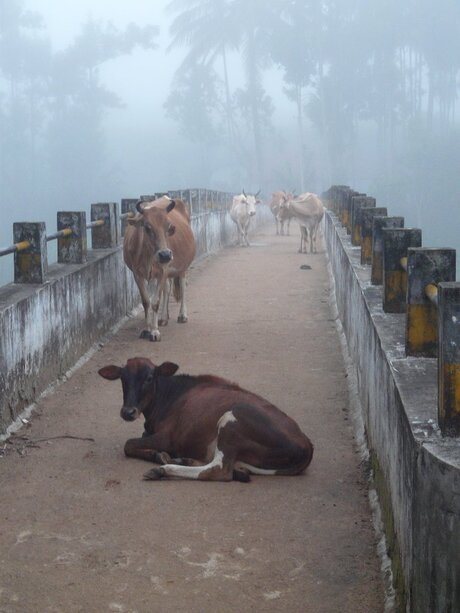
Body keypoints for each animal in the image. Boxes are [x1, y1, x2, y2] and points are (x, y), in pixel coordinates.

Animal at [96, 354, 312, 482]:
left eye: (149, 378)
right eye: (122, 378)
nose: (128, 412)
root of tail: (307, 445)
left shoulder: (167, 437)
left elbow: (128, 444)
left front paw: (158, 455)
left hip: (231, 419)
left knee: (219, 470)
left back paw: (165, 469)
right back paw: (184, 460)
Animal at [123, 195, 195, 342]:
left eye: (168, 226)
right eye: (147, 227)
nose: (165, 255)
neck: (147, 255)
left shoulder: (163, 271)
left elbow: (155, 301)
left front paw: (155, 331)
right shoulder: (137, 274)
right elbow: (146, 301)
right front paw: (147, 329)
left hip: (183, 267)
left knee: (183, 286)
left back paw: (182, 315)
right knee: (166, 288)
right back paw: (163, 318)